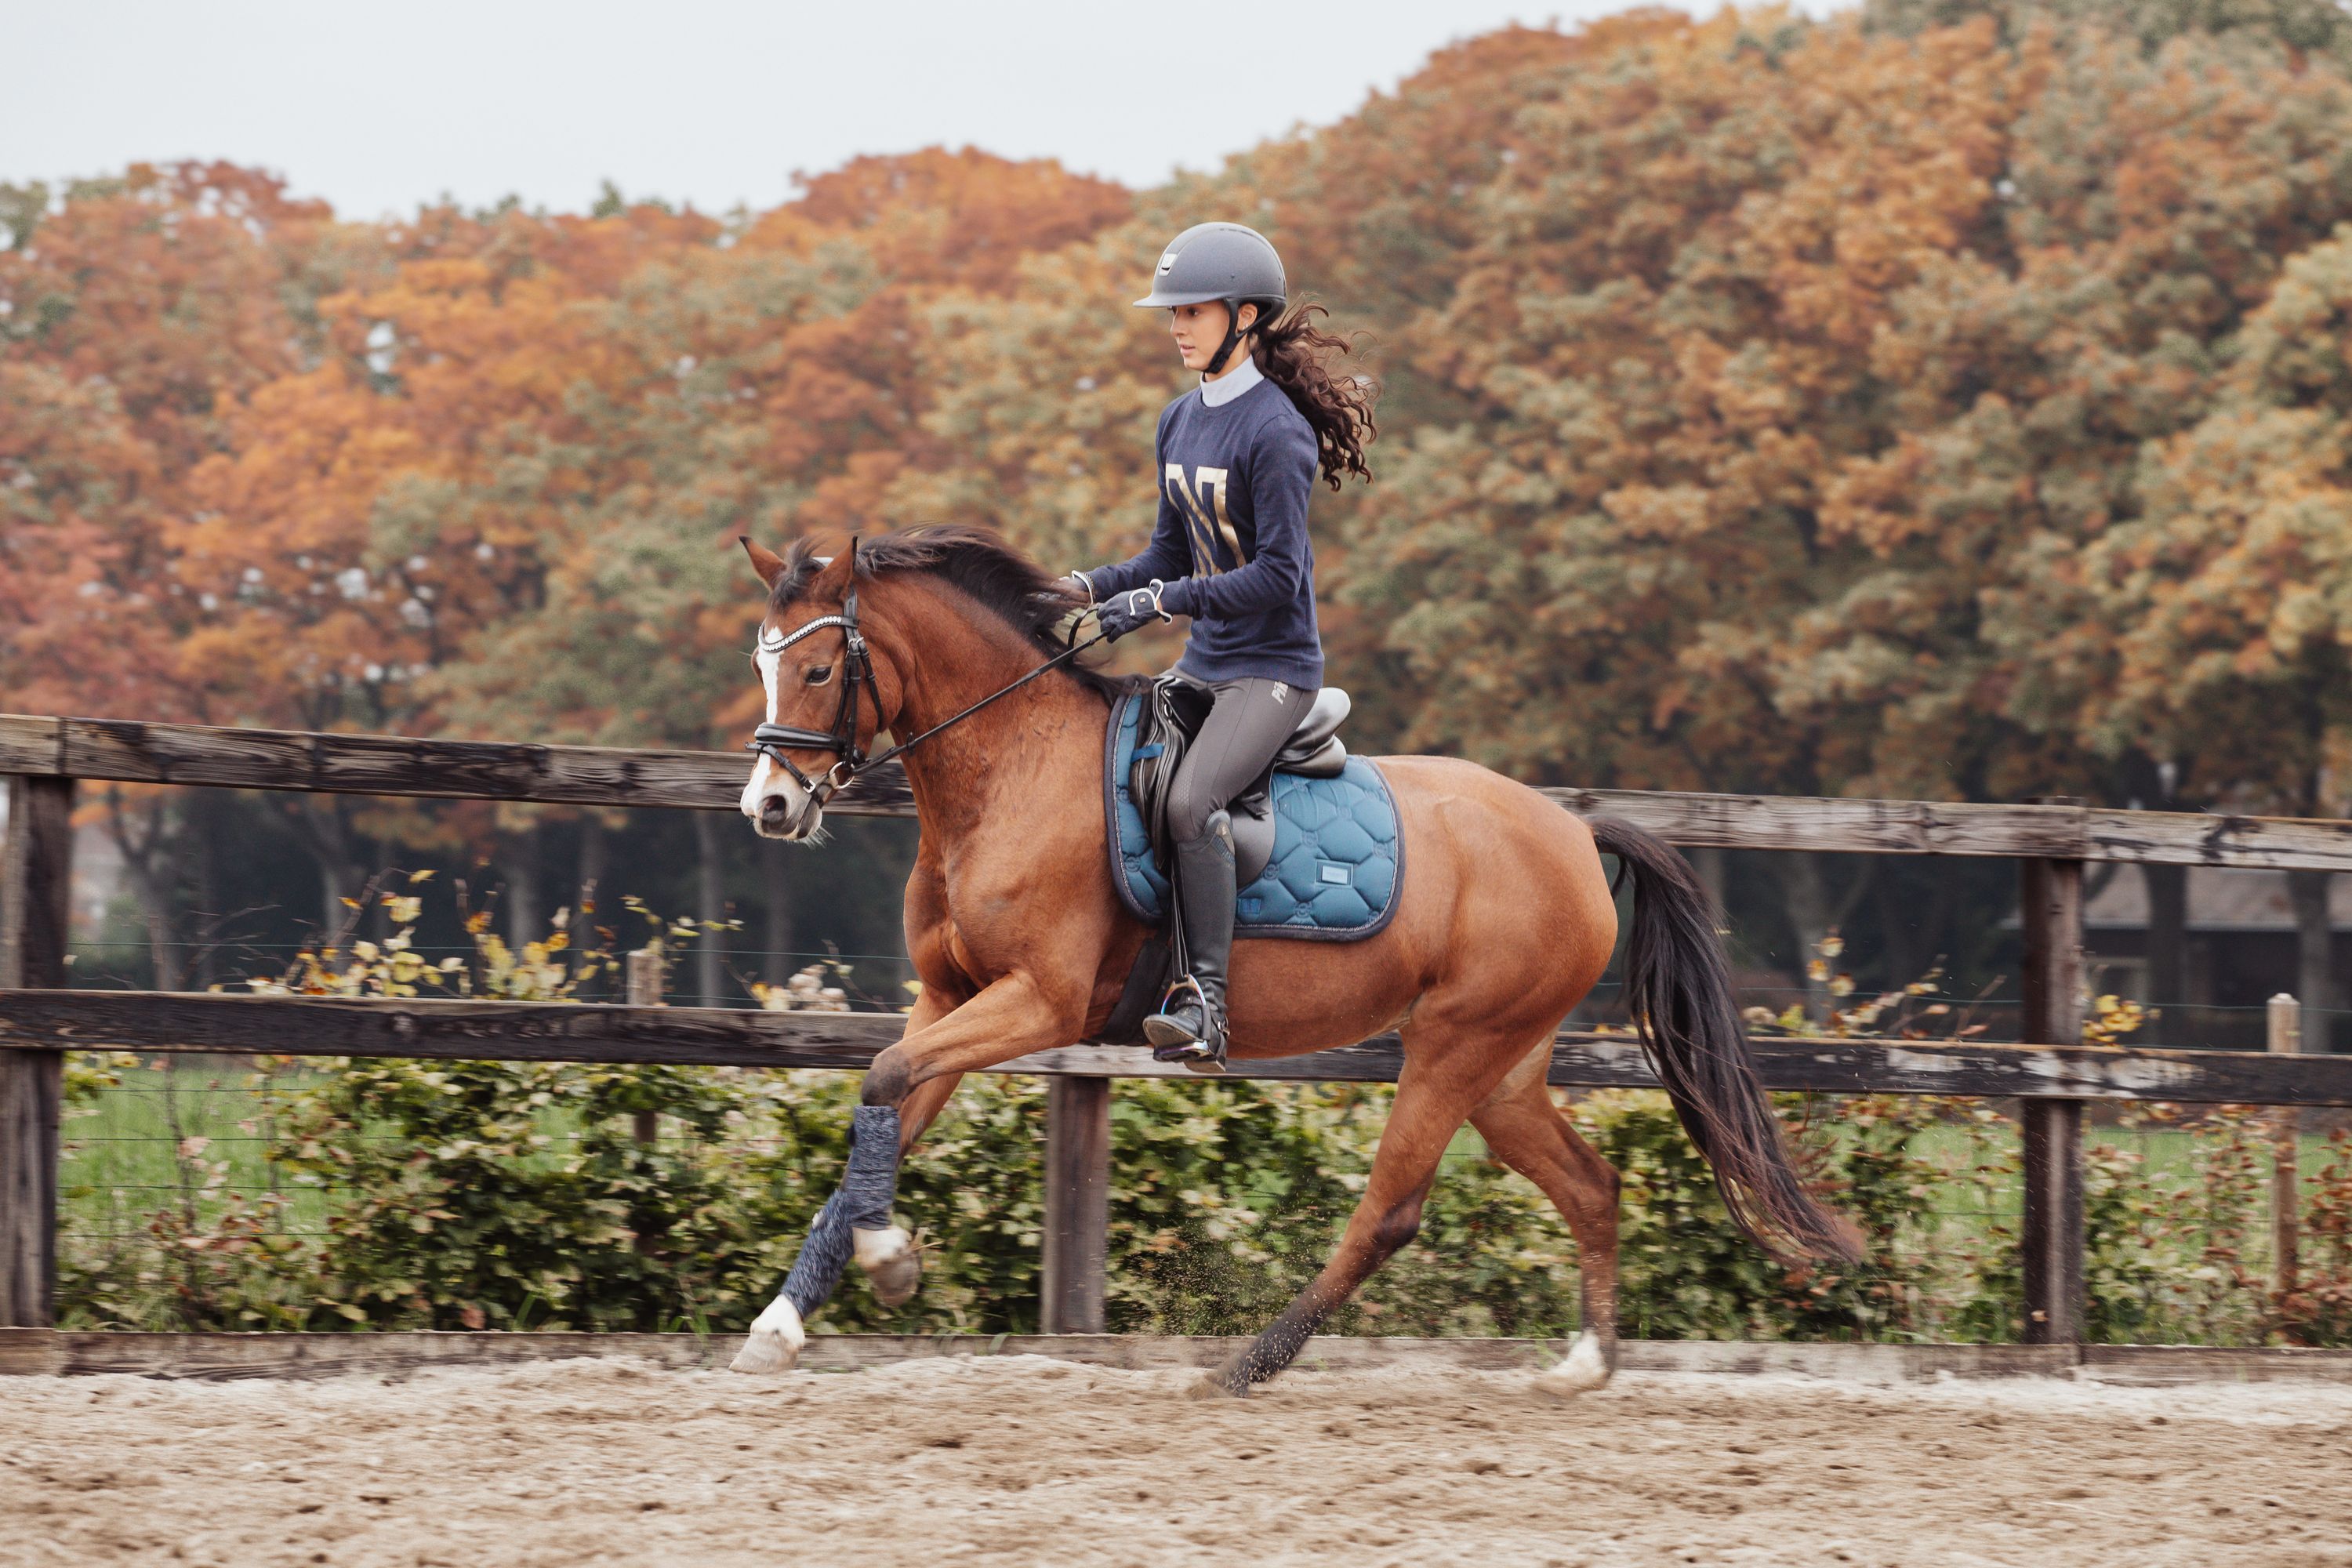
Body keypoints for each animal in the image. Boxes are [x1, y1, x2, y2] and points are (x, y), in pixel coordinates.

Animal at [728, 524, 1862, 1396]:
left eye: (820, 668)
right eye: (763, 663)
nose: (769, 808)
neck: (1010, 768)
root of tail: (1576, 834)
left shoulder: (1037, 1004)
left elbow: (880, 1079)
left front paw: (888, 1263)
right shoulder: (947, 1000)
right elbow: (879, 1112)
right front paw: (786, 1319)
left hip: (1453, 1046)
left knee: (1390, 1211)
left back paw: (1245, 1365)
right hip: (1506, 1067)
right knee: (1591, 1186)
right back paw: (1586, 1363)